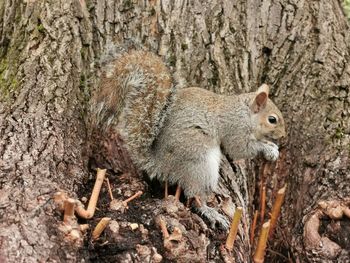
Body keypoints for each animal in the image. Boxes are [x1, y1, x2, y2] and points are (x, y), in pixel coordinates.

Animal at [91, 48, 286, 230]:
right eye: (272, 119)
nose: (283, 136)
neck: (245, 112)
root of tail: (162, 164)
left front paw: (271, 146)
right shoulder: (234, 128)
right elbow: (239, 149)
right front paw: (268, 148)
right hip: (199, 163)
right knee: (194, 194)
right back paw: (209, 211)